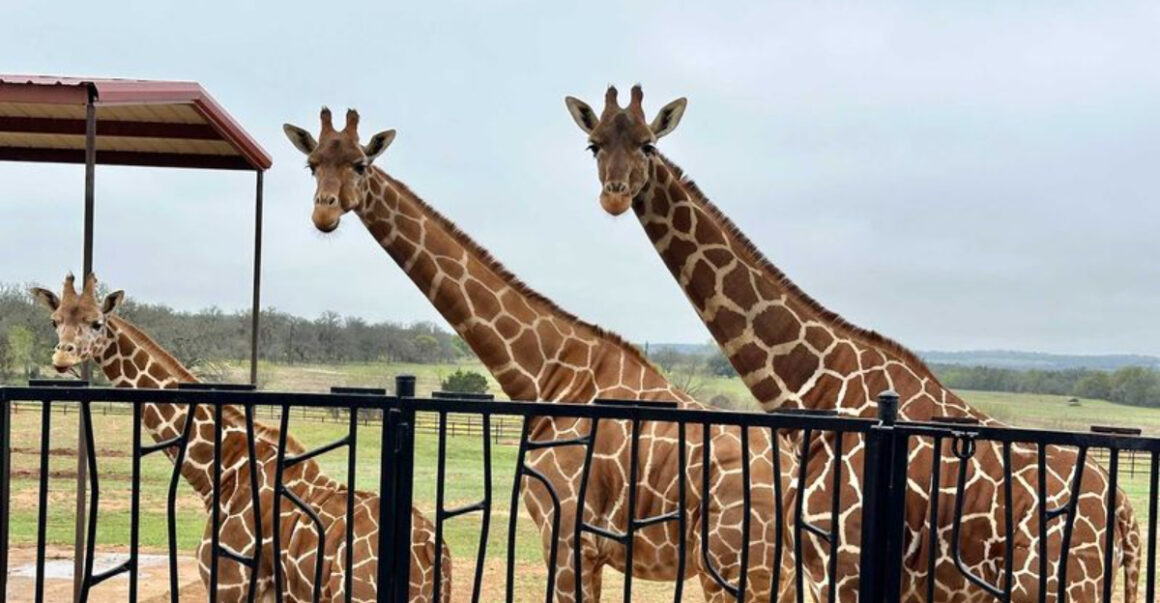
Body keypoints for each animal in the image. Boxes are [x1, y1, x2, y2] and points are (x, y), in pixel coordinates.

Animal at [29, 273, 449, 603]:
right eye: (54, 321)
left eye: (97, 322)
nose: (63, 357)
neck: (224, 468)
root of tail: (433, 551)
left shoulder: (229, 584)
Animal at [283, 107, 800, 602]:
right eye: (312, 165)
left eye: (360, 164)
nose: (323, 214)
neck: (548, 371)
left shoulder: (568, 536)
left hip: (734, 568)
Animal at [563, 85, 1143, 602]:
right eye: (593, 144)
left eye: (648, 145)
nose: (614, 194)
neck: (813, 385)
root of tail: (1124, 512)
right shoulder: (821, 569)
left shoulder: (842, 566)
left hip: (1061, 587)